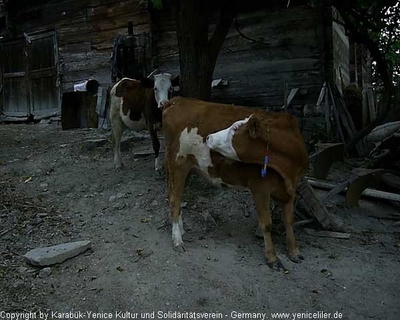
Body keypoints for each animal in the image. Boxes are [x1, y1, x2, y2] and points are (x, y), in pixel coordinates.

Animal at [162, 97, 310, 270]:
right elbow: (267, 224)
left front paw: (294, 251)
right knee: (174, 200)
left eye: (234, 129)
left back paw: (180, 229)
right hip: (178, 162)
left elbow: (289, 221)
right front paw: (272, 258)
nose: (209, 137)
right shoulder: (260, 187)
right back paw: (177, 240)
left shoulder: (290, 189)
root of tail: (177, 100)